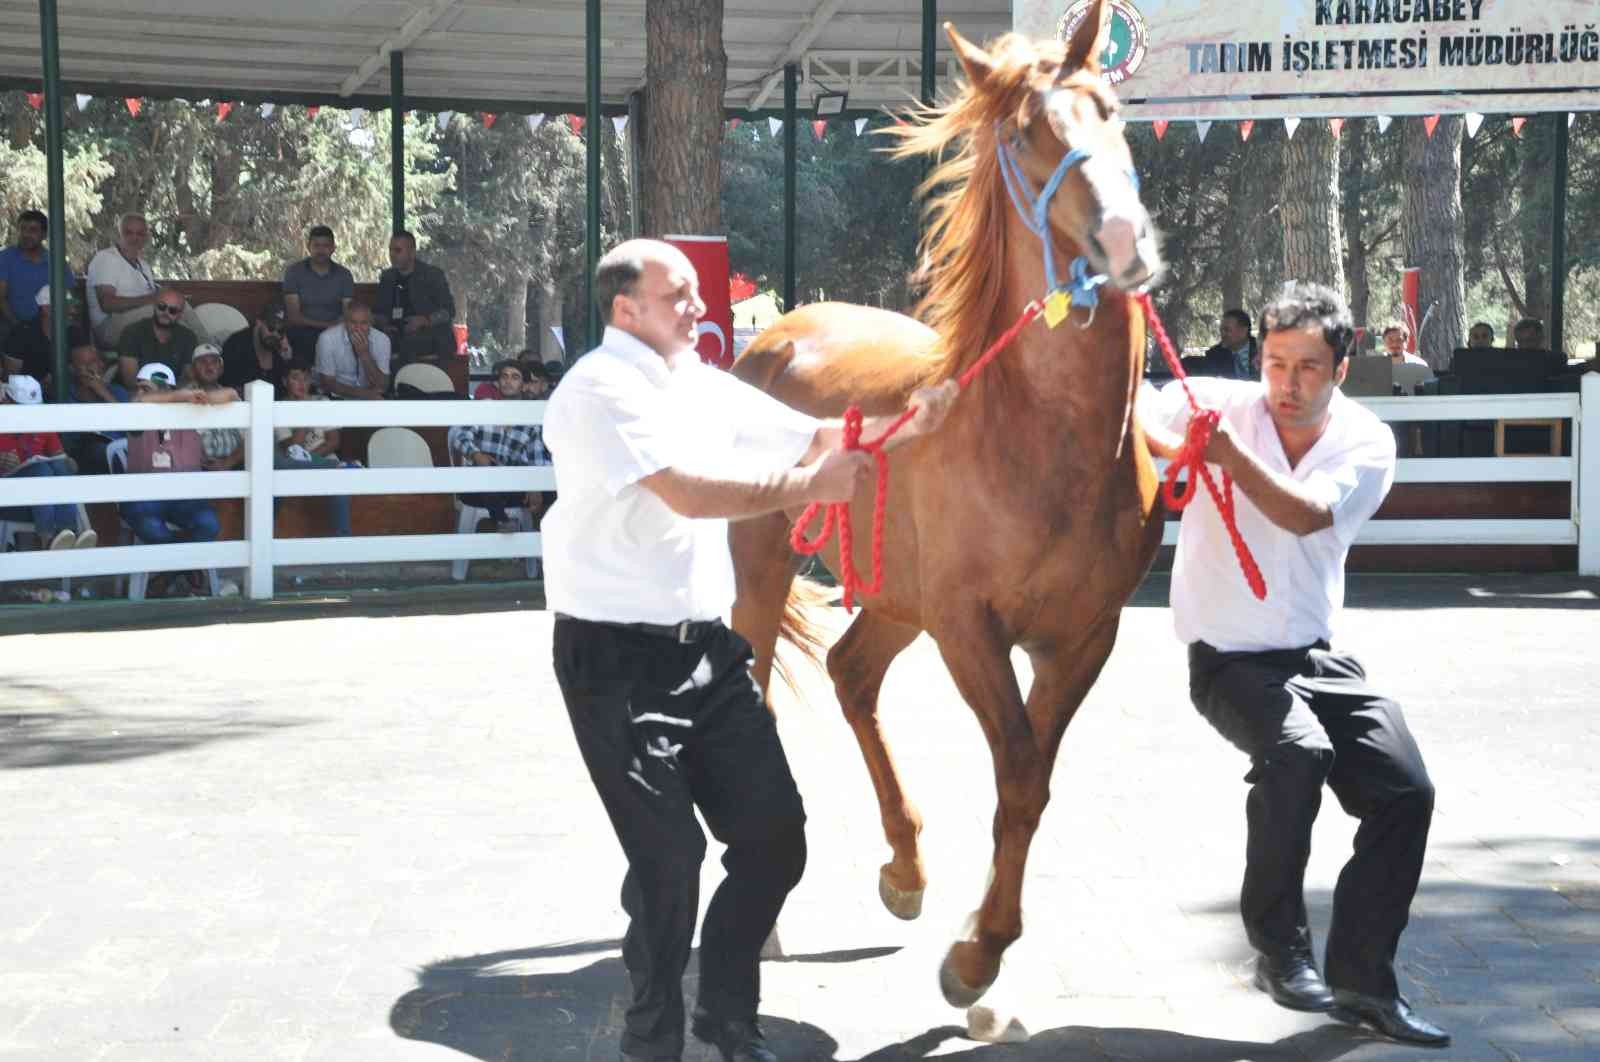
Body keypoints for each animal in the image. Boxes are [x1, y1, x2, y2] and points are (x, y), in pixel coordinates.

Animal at [732, 4, 1171, 1010]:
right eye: (1021, 134)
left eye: (1113, 109)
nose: (1124, 241)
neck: (1038, 437)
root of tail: (773, 333)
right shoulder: (971, 629)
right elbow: (1016, 765)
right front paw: (978, 953)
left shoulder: (1083, 636)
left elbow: (1031, 783)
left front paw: (980, 940)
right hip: (767, 571)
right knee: (757, 693)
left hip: (899, 597)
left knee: (854, 674)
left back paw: (906, 870)